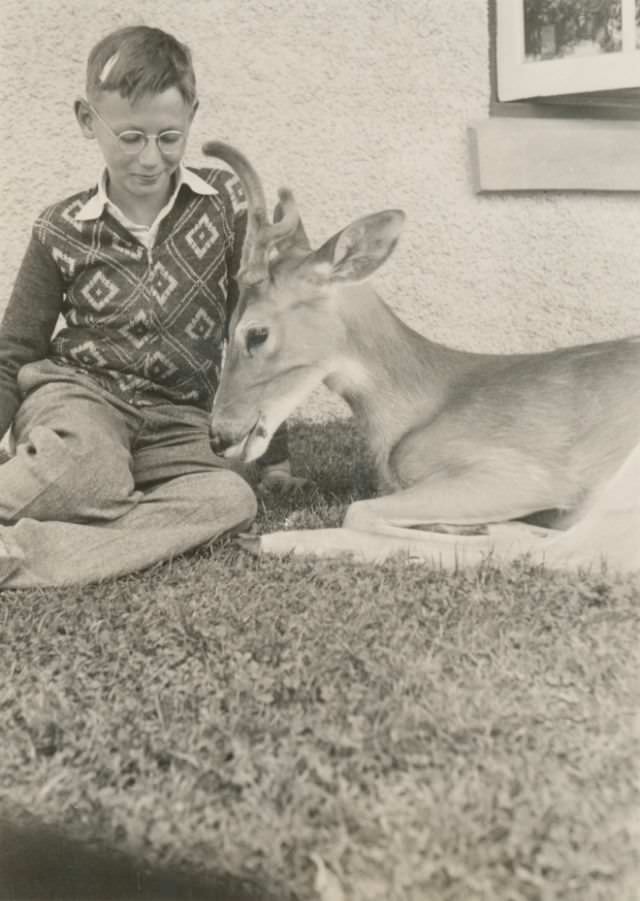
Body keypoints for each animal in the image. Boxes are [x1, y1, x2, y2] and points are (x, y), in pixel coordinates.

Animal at [204, 141, 640, 574]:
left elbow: (359, 511)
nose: (219, 437)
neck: (415, 410)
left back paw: (265, 539)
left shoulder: (526, 475)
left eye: (257, 333)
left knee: (565, 551)